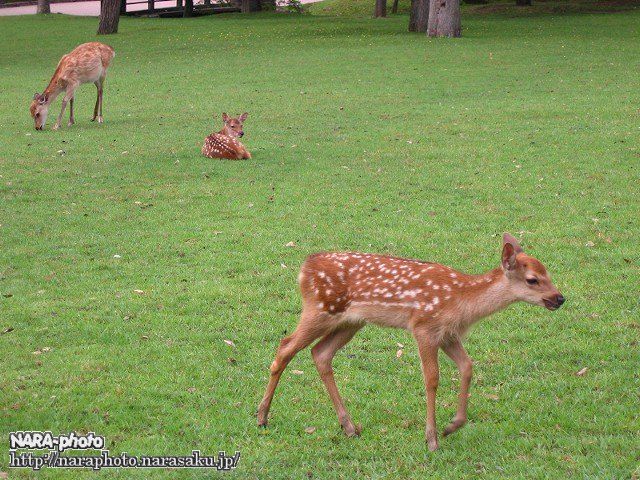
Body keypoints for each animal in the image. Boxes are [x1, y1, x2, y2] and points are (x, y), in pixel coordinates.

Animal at [256, 234, 564, 452]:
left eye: (548, 272)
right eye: (533, 279)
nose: (560, 298)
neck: (462, 303)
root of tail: (304, 267)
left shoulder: (448, 334)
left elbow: (467, 367)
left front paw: (452, 426)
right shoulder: (424, 327)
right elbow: (432, 379)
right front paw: (432, 440)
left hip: (351, 322)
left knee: (320, 353)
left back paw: (349, 427)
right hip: (320, 309)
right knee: (285, 346)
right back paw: (262, 417)